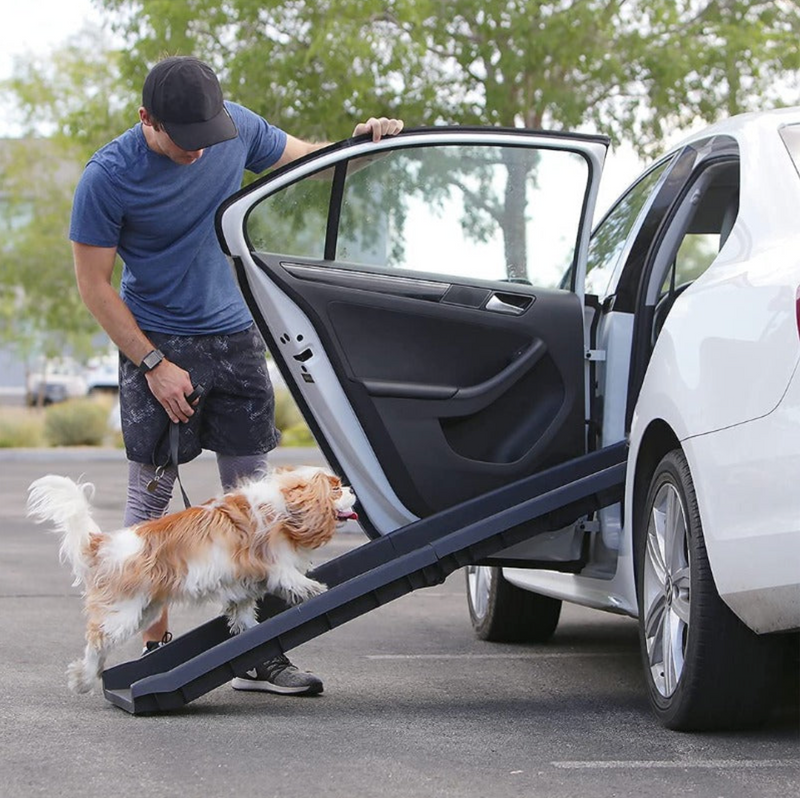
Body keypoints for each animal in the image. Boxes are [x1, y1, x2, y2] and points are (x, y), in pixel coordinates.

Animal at [27, 468, 356, 692]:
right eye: (335, 489)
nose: (351, 488)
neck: (284, 506)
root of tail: (103, 544)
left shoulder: (242, 586)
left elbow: (244, 615)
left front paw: (252, 636)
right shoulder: (275, 564)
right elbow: (294, 580)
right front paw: (317, 591)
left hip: (145, 609)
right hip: (124, 612)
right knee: (96, 640)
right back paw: (83, 679)